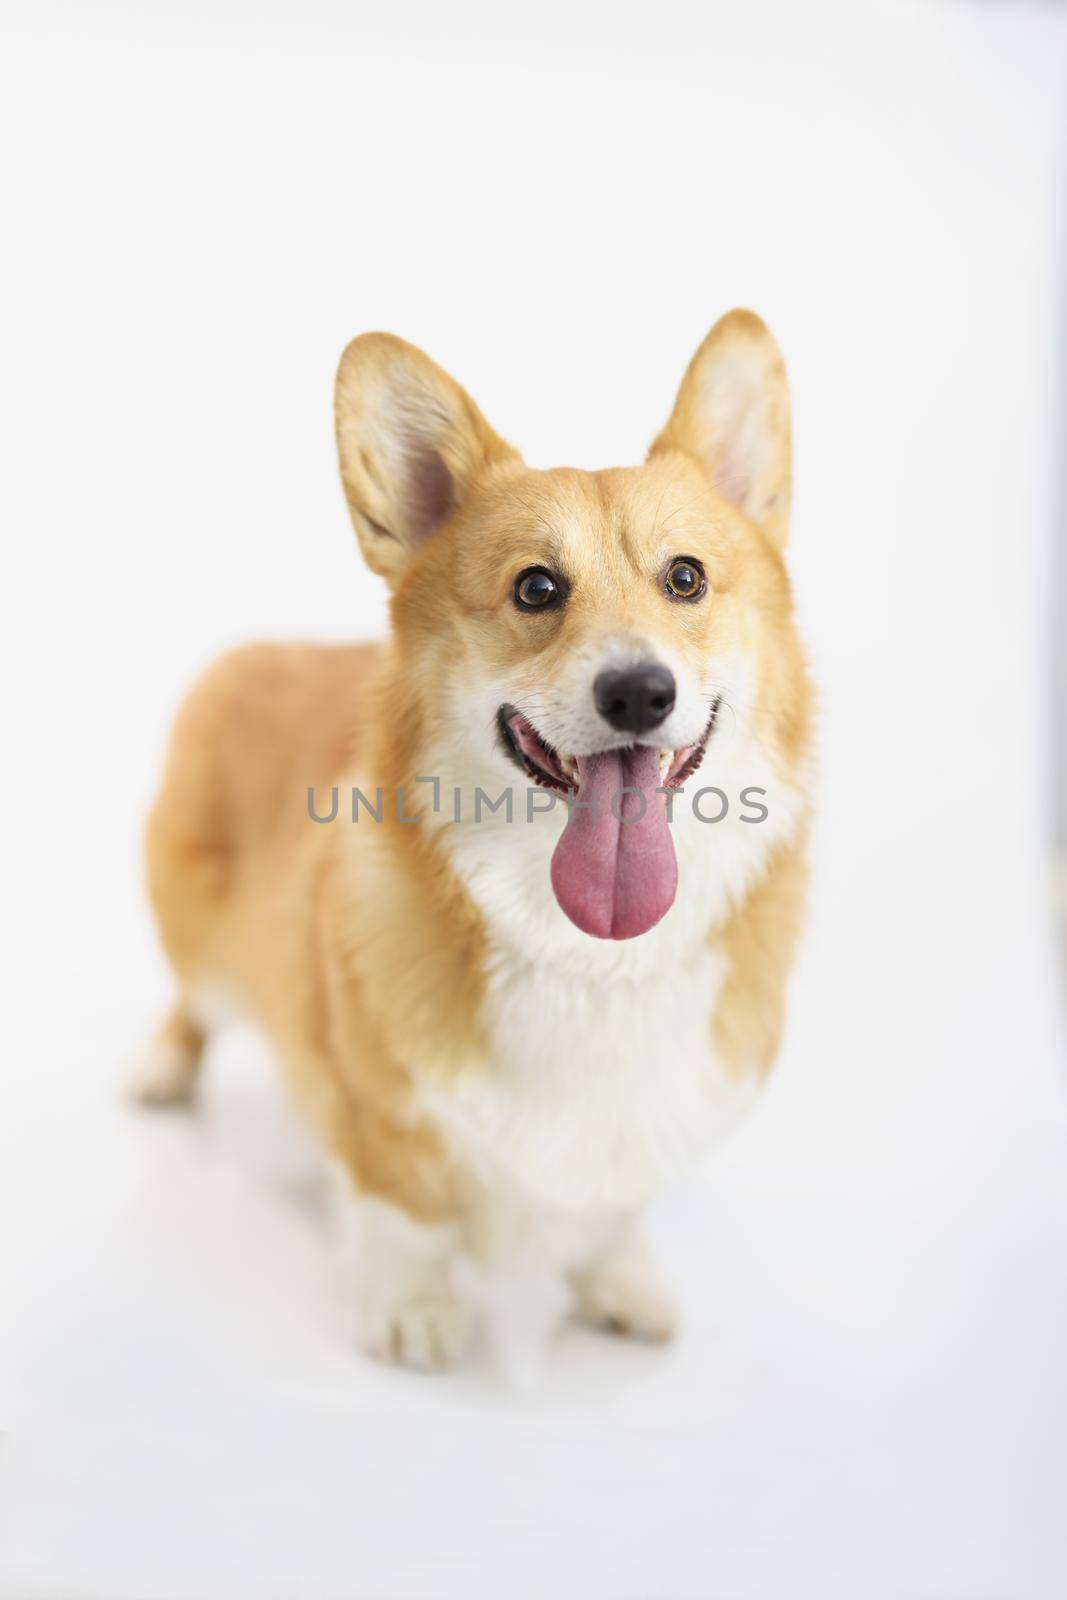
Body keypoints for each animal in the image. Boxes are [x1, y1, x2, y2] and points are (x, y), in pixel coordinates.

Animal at [137, 315, 812, 1376]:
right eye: (535, 587)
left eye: (686, 578)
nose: (638, 692)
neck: (589, 961)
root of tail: (258, 648)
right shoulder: (377, 1107)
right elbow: (403, 1208)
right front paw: (411, 1308)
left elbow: (613, 1208)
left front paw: (618, 1279)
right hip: (200, 942)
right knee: (192, 1001)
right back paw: (163, 1068)